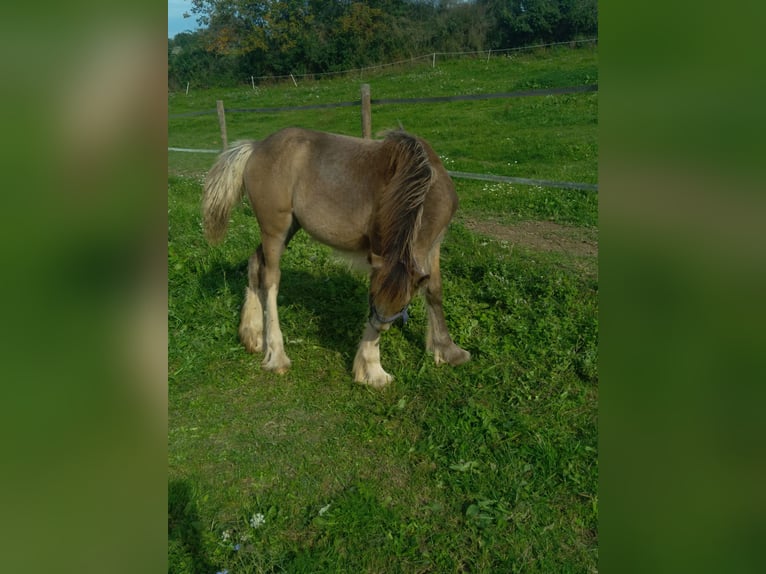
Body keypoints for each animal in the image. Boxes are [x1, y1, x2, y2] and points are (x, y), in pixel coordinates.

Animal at [201, 128, 472, 390]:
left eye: (403, 304)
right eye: (372, 297)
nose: (383, 327)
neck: (420, 185)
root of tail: (257, 146)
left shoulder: (432, 245)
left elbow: (434, 291)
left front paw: (447, 350)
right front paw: (373, 371)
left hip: (289, 228)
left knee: (256, 264)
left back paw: (252, 334)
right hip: (275, 229)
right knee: (271, 280)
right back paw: (277, 355)